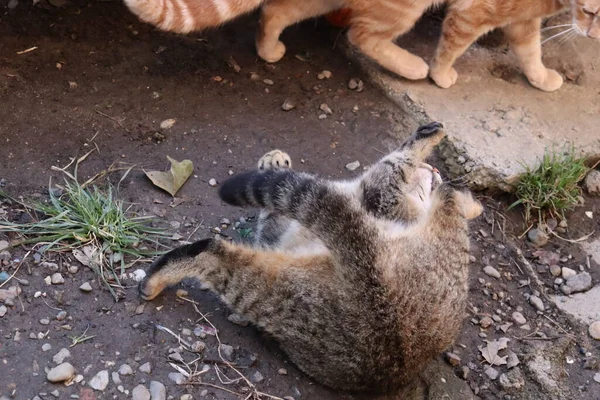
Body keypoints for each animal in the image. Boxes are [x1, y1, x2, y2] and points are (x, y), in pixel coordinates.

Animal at [137, 122, 482, 394]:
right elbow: (274, 212)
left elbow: (394, 163)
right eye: (436, 178)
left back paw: (159, 276)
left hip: (272, 288)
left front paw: (425, 139)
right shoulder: (282, 234)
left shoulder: (379, 196)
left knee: (211, 254)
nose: (437, 173)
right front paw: (273, 164)